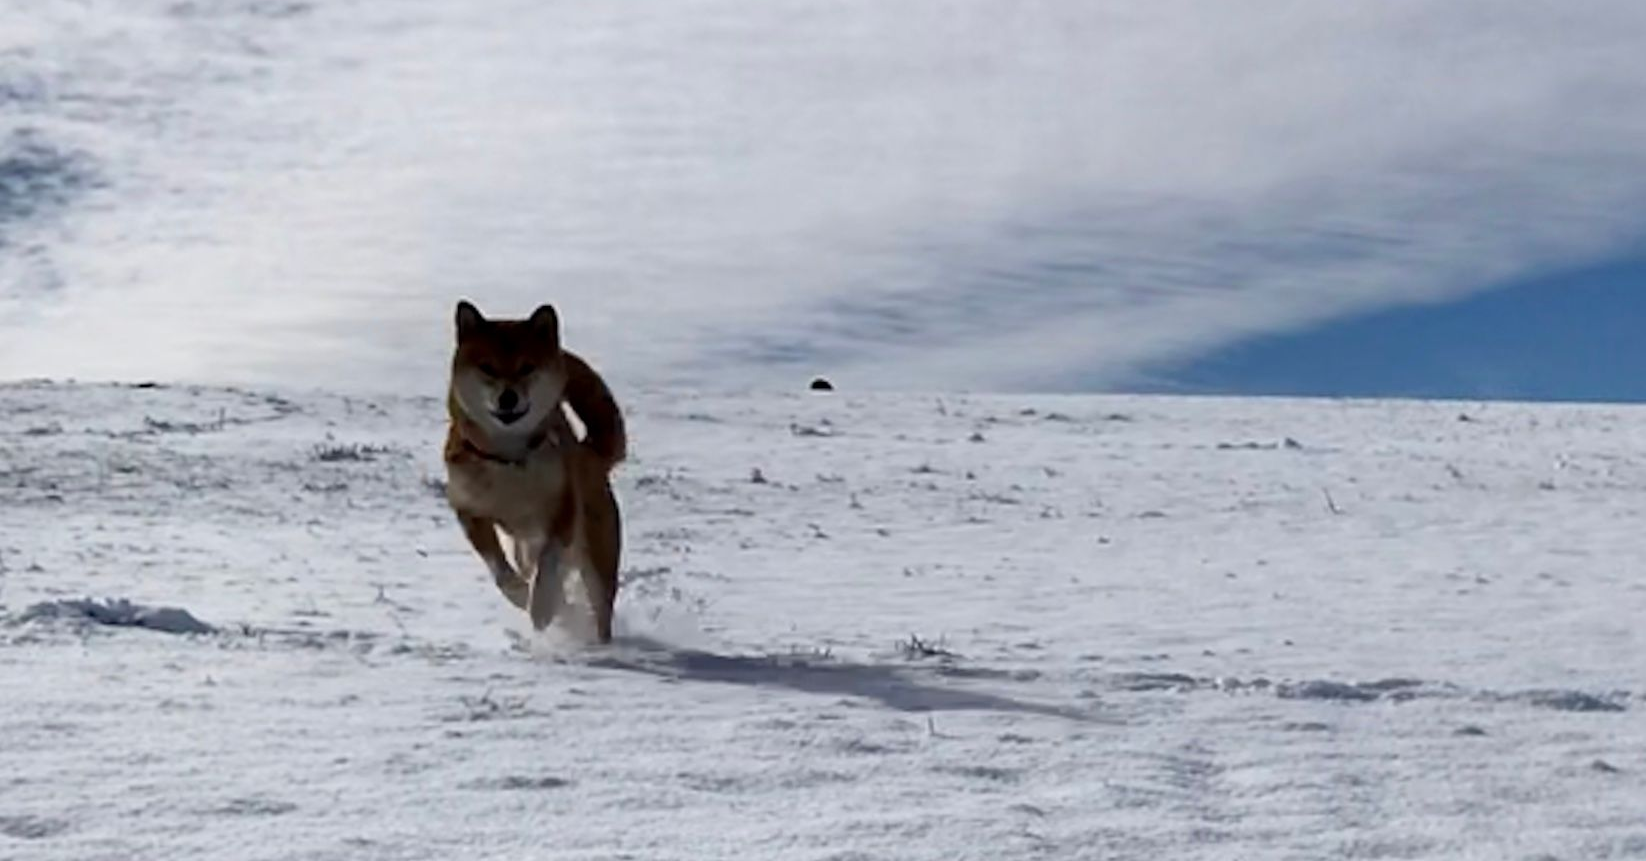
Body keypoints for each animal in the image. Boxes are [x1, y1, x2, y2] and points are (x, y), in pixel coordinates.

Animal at [442, 300, 626, 642]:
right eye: (487, 367)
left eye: (527, 367)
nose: (508, 397)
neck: (508, 460)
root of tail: (592, 456)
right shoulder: (468, 508)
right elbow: (497, 565)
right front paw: (519, 593)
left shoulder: (563, 506)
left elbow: (549, 562)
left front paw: (540, 607)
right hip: (525, 550)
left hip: (597, 557)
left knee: (600, 607)